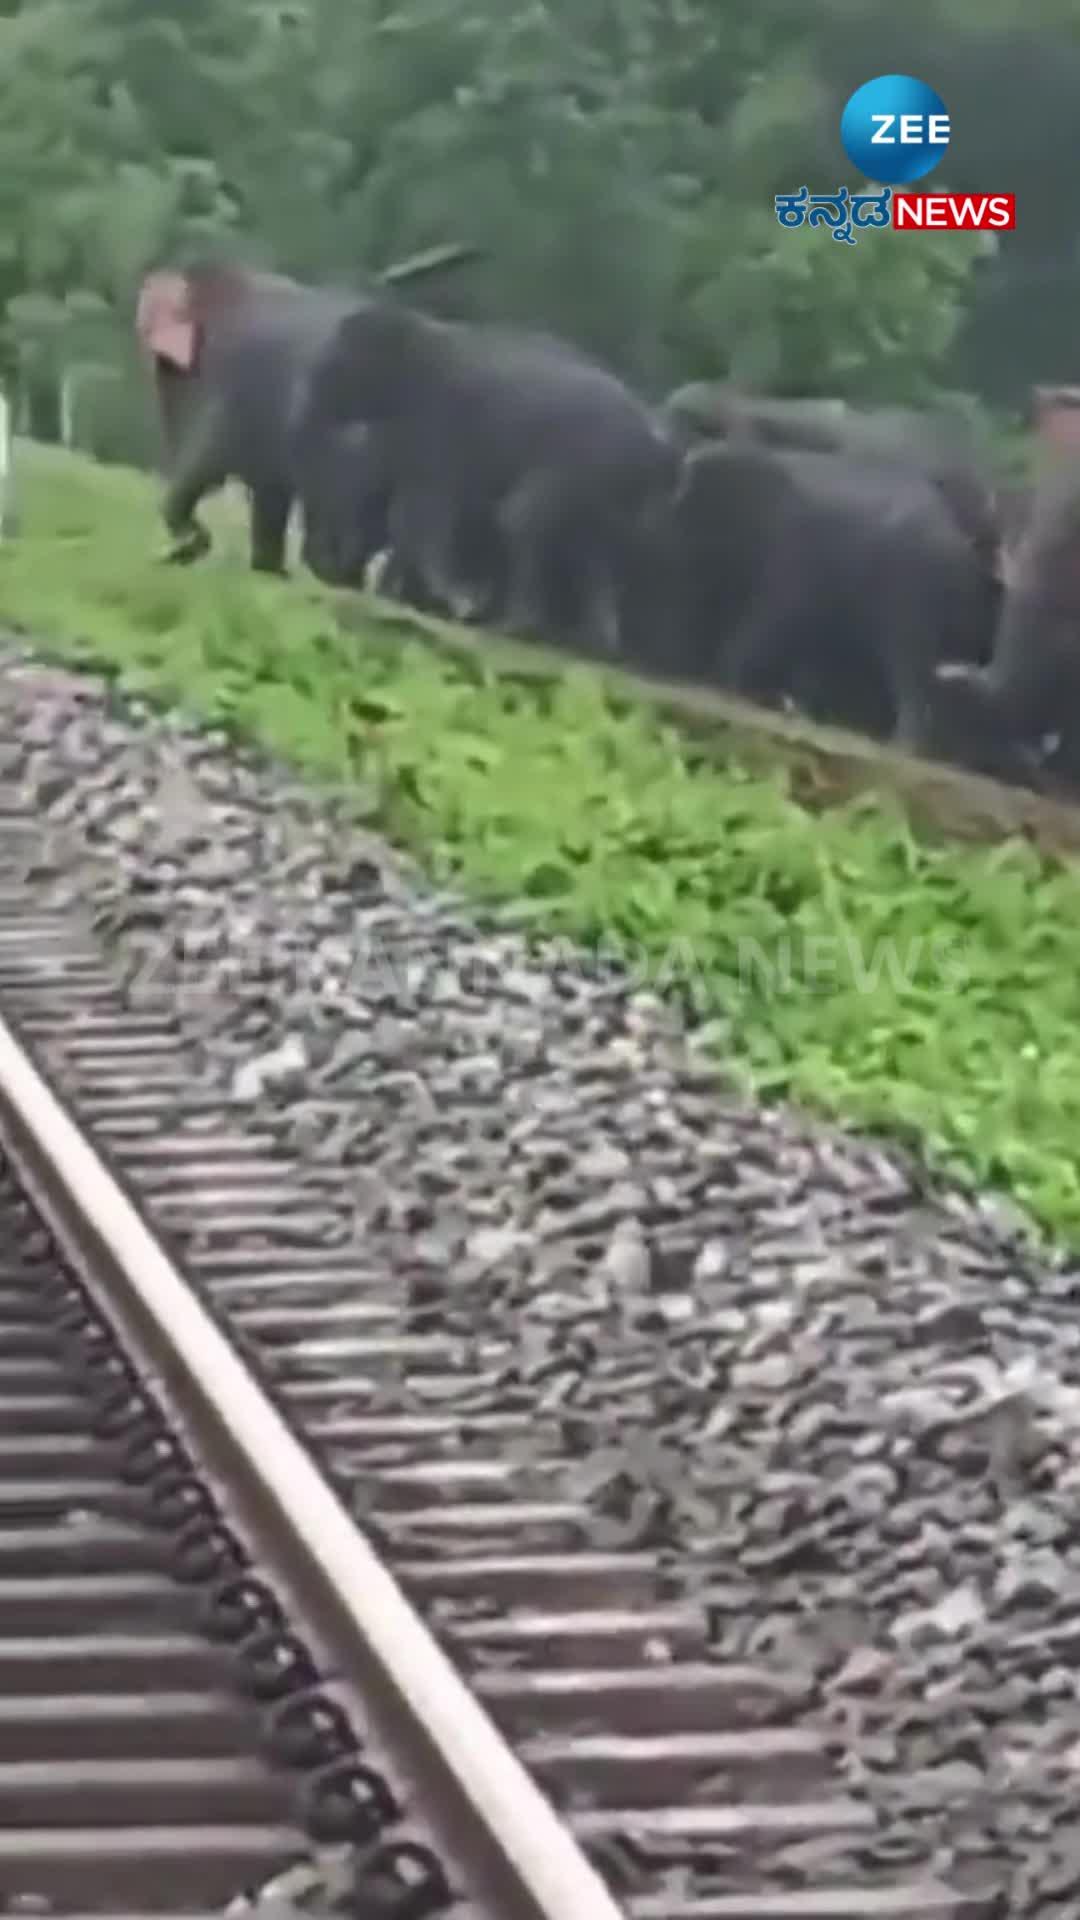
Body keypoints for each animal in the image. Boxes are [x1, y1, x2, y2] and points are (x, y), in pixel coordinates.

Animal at [292, 297, 680, 660]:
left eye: (340, 356)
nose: (327, 570)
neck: (426, 332)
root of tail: (659, 449)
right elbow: (410, 510)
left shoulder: (440, 423)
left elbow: (423, 509)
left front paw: (445, 599)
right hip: (609, 488)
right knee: (593, 551)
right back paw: (594, 644)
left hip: (583, 464)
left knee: (523, 521)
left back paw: (511, 625)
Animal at [661, 439, 999, 744]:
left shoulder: (793, 568)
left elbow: (768, 626)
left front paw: (727, 682)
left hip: (910, 603)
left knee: (909, 673)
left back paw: (900, 743)